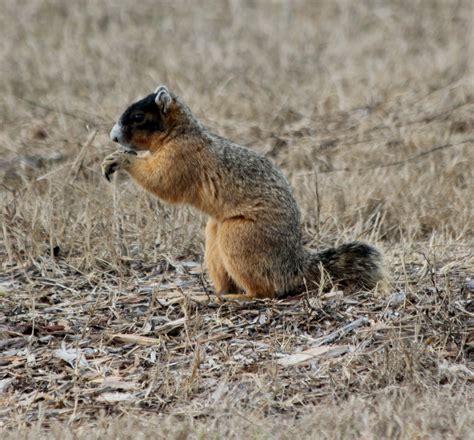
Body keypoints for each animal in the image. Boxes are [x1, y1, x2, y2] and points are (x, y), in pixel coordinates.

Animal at [102, 85, 384, 300]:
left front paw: (120, 160)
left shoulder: (182, 158)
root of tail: (292, 267)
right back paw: (213, 294)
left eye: (138, 117)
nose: (113, 137)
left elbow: (163, 182)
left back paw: (236, 298)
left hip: (239, 238)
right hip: (215, 236)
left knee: (266, 291)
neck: (179, 133)